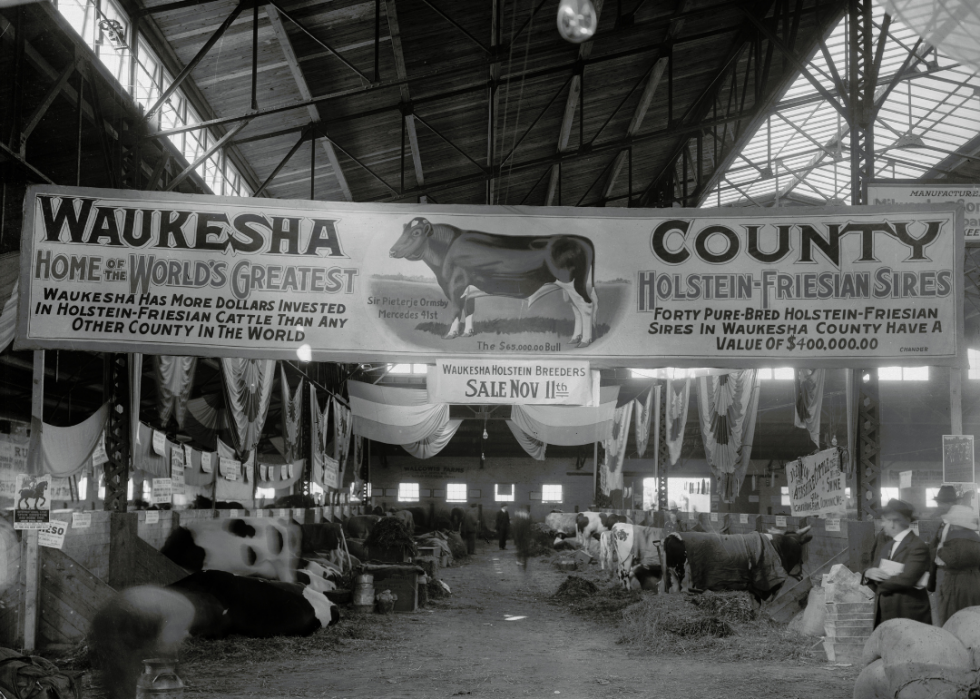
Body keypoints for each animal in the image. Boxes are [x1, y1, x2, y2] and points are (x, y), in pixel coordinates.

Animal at [388, 219, 596, 348]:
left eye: (415, 232)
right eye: (403, 231)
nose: (391, 251)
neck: (447, 249)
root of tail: (581, 239)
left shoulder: (455, 287)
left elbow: (455, 311)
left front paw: (450, 334)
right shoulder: (468, 290)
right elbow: (469, 311)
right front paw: (467, 333)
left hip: (574, 285)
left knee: (586, 307)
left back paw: (585, 341)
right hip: (568, 289)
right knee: (576, 310)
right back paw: (574, 338)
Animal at [664, 528, 816, 604]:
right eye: (800, 552)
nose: (802, 575)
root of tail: (673, 536)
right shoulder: (767, 587)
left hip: (673, 576)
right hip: (685, 580)